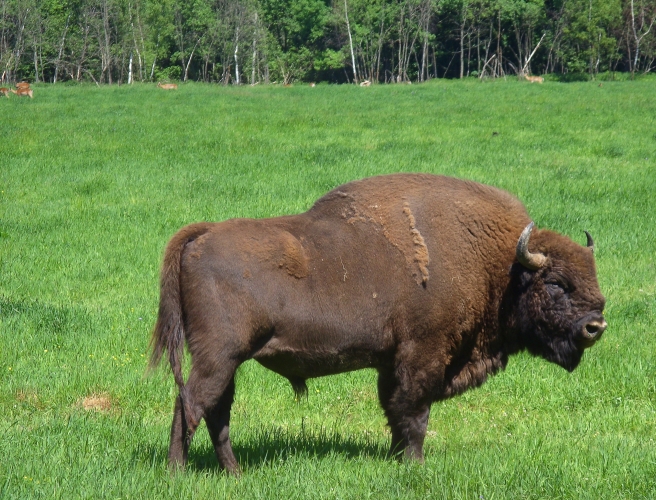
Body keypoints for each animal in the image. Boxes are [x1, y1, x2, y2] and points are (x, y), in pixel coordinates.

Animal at [149, 174, 604, 474]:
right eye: (557, 283)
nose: (596, 326)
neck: (500, 265)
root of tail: (202, 235)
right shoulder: (422, 355)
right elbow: (414, 412)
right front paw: (415, 466)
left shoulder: (391, 361)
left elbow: (393, 409)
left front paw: (397, 458)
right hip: (219, 356)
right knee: (192, 402)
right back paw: (177, 473)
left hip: (227, 361)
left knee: (215, 411)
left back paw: (234, 473)